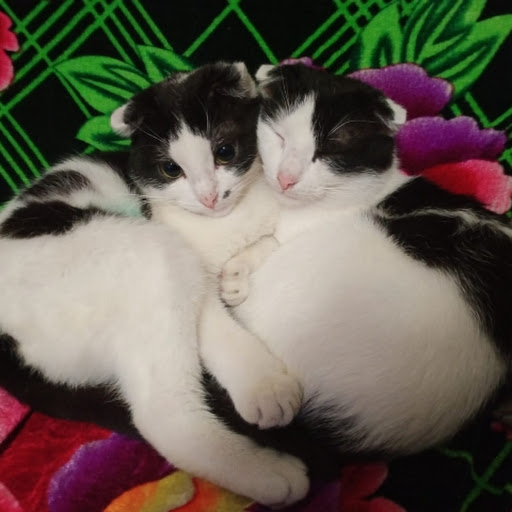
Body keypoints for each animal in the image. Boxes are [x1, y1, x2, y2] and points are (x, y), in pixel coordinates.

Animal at [0, 62, 309, 507]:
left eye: (225, 152)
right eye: (171, 170)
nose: (209, 196)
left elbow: (272, 239)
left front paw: (236, 274)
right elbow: (219, 328)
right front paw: (263, 387)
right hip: (150, 256)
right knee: (164, 415)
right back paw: (270, 474)